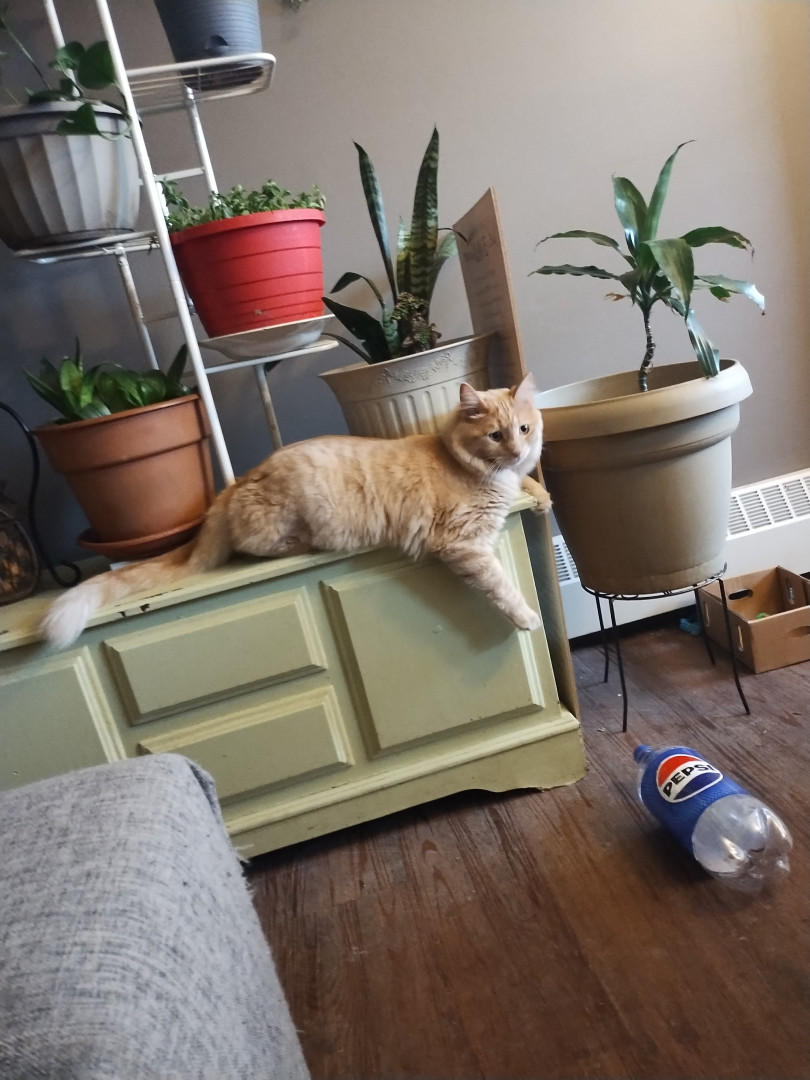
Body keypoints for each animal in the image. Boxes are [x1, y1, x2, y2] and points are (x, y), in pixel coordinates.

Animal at [40, 374, 551, 650]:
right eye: (495, 436)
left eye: (524, 429)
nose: (517, 450)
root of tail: (237, 482)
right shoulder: (464, 544)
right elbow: (501, 586)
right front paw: (528, 617)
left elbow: (531, 483)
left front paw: (542, 497)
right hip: (296, 516)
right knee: (253, 548)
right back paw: (300, 546)